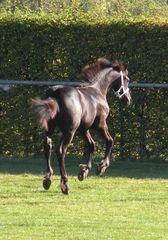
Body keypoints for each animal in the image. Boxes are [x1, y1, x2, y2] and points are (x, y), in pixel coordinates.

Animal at [31, 58, 131, 195]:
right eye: (126, 79)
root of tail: (54, 95)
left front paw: (83, 172)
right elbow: (110, 140)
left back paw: (47, 179)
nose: (128, 100)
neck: (97, 91)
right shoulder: (100, 124)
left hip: (50, 129)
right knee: (61, 151)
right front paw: (101, 167)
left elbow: (92, 145)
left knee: (47, 147)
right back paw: (64, 184)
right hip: (69, 132)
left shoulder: (84, 129)